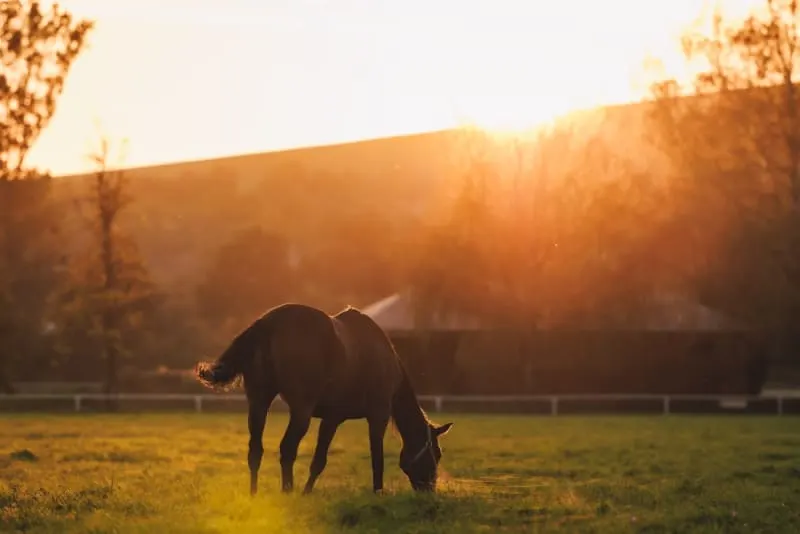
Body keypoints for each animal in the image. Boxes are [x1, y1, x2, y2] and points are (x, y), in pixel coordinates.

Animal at [194, 302, 453, 495]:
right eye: (437, 453)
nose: (429, 489)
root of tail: (267, 323)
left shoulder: (332, 418)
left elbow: (319, 461)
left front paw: (307, 492)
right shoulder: (377, 416)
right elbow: (377, 458)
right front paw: (377, 492)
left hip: (259, 402)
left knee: (255, 450)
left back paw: (254, 494)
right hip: (301, 410)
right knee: (287, 448)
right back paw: (287, 492)